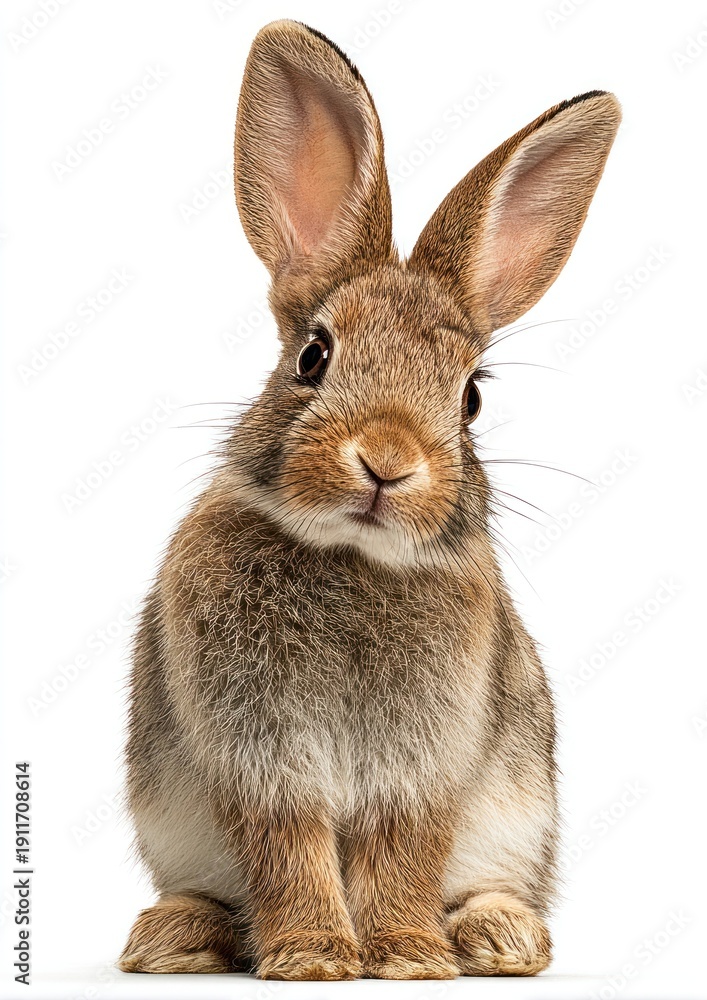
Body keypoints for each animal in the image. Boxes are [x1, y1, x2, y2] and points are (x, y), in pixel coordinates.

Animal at [117, 19, 620, 981]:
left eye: (470, 398)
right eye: (313, 356)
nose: (387, 461)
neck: (350, 555)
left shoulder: (423, 762)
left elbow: (401, 850)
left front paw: (410, 956)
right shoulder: (260, 753)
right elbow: (291, 847)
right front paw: (313, 956)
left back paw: (499, 939)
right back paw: (173, 937)